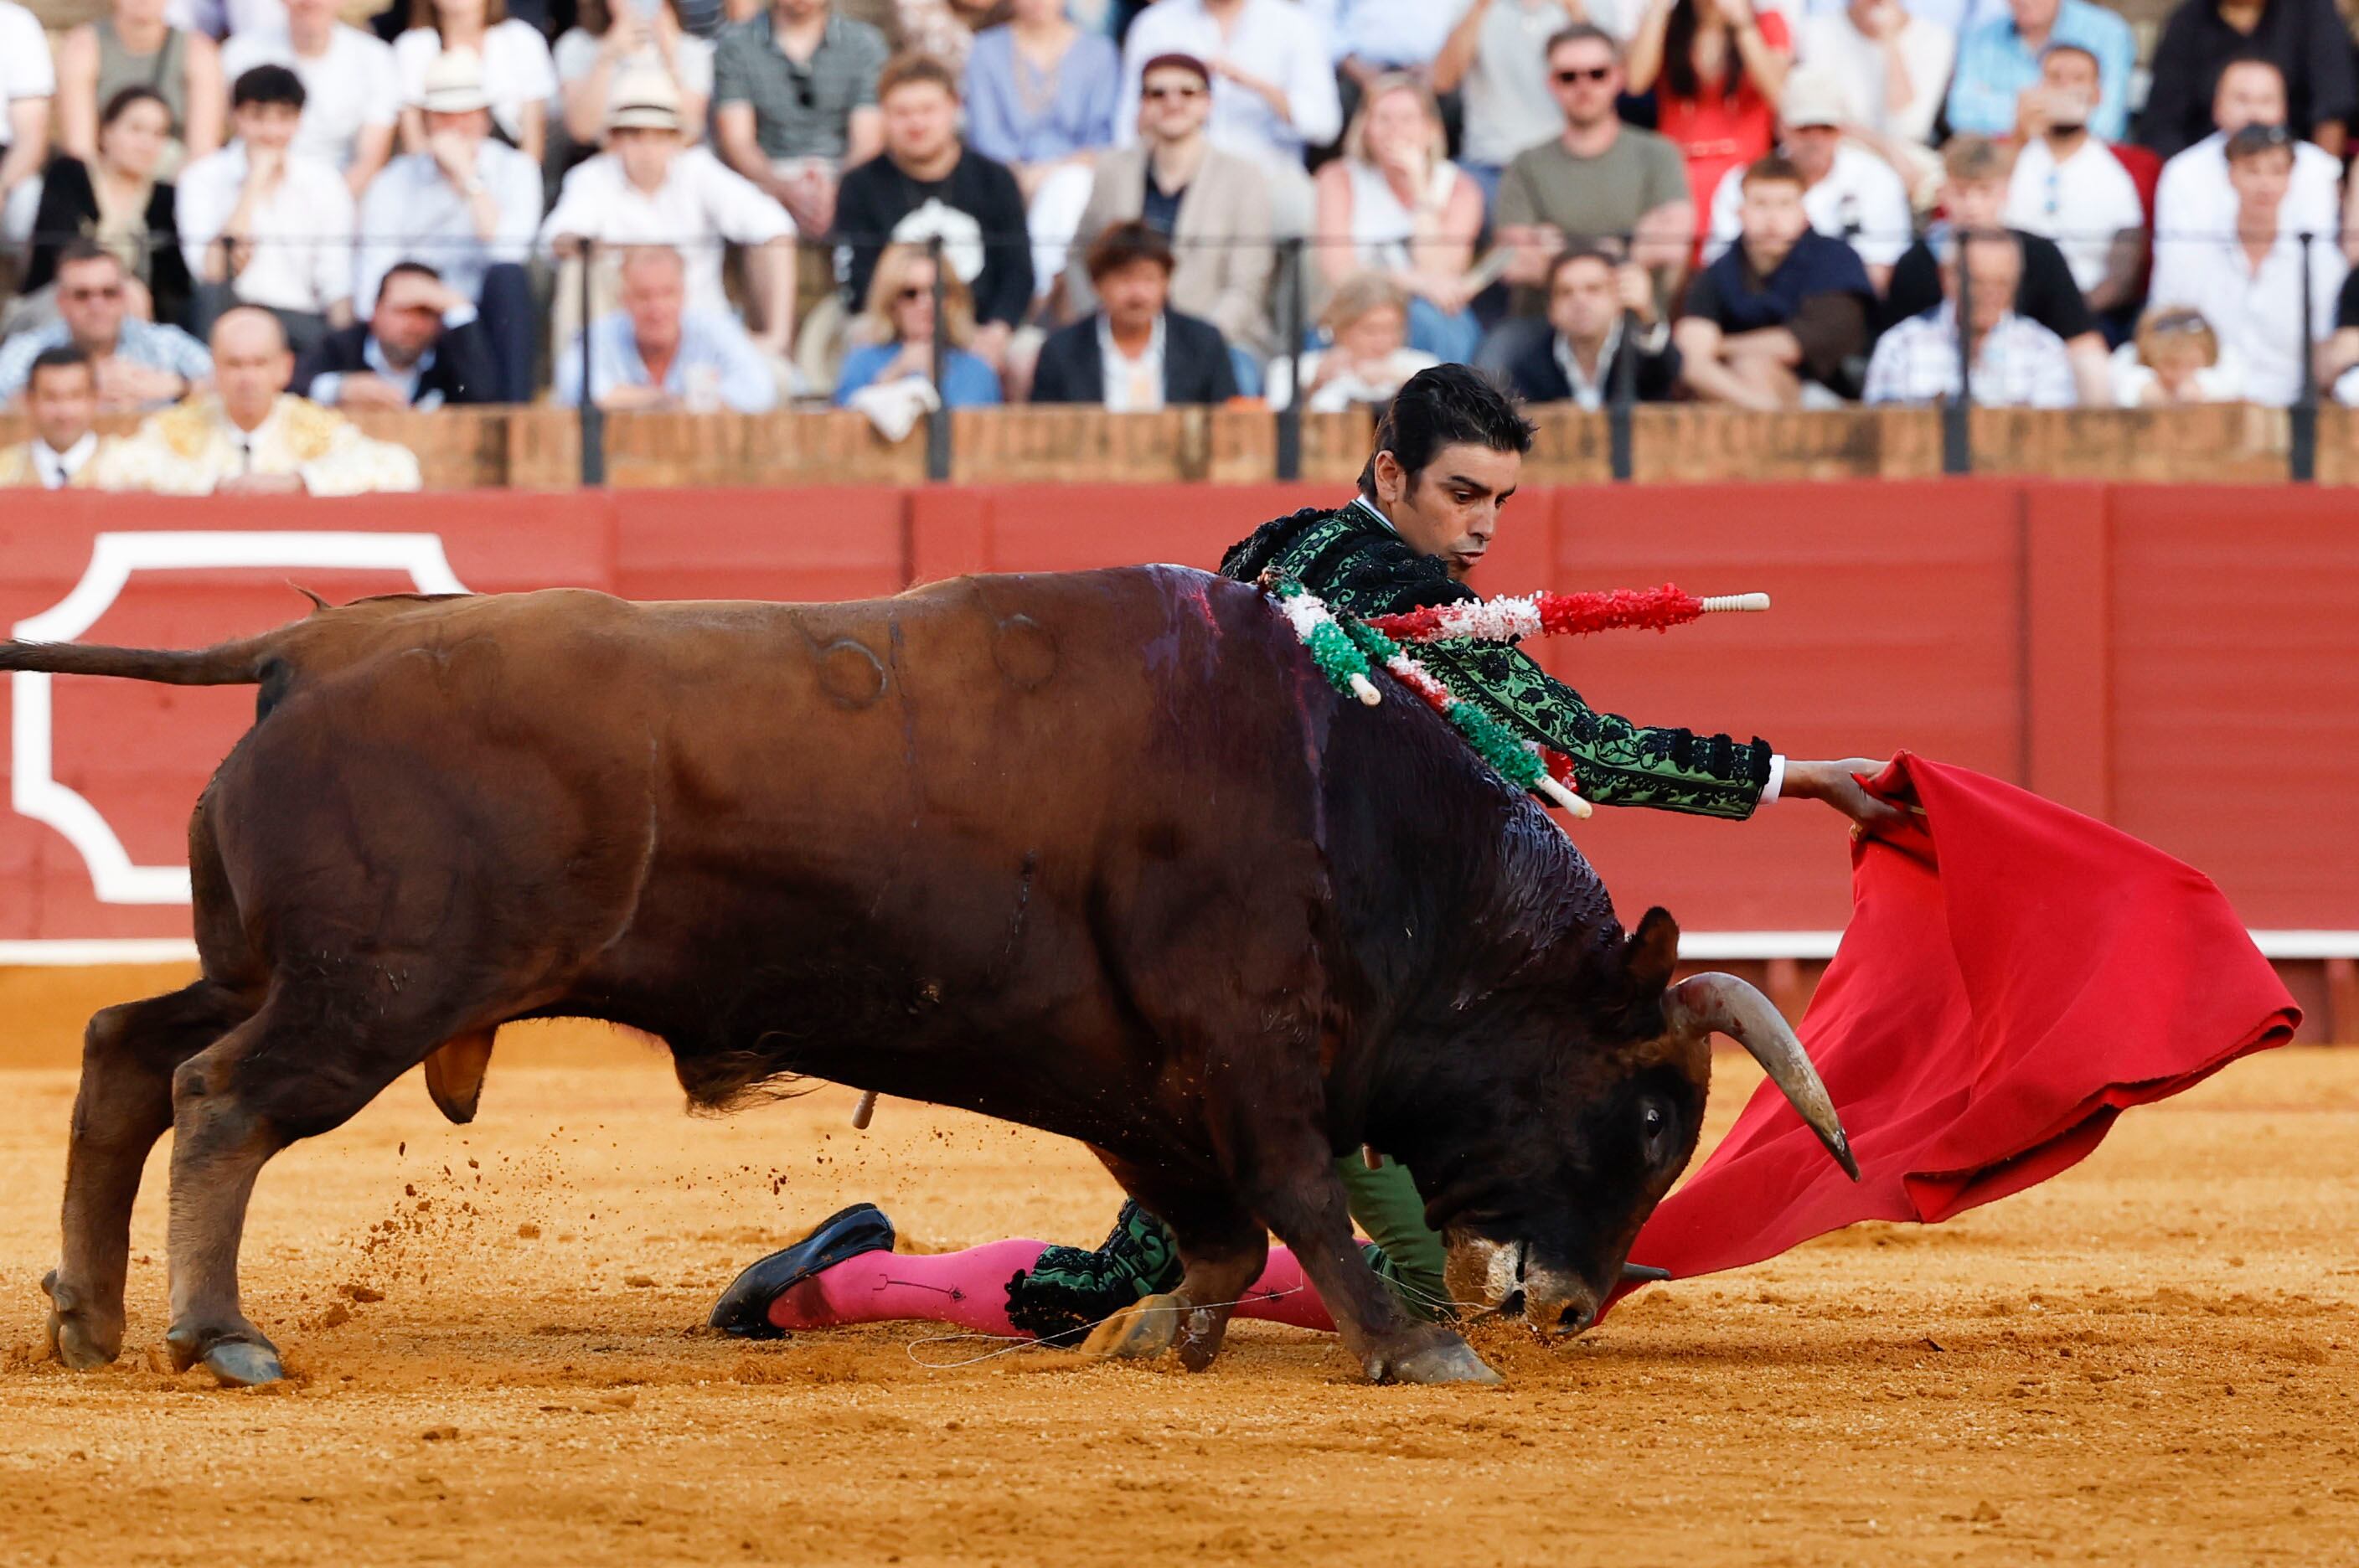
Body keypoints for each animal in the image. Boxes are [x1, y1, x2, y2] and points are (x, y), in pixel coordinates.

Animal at [13, 568, 1859, 1386]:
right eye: (1649, 1118)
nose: (1576, 1302)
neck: (1355, 807)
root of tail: (312, 641)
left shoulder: (1131, 1073)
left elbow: (1218, 1224)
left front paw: (1174, 1332)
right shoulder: (1244, 1045)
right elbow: (1302, 1197)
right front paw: (1417, 1349)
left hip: (273, 962)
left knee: (124, 1049)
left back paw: (93, 1317)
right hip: (372, 987)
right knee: (220, 1101)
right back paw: (214, 1331)